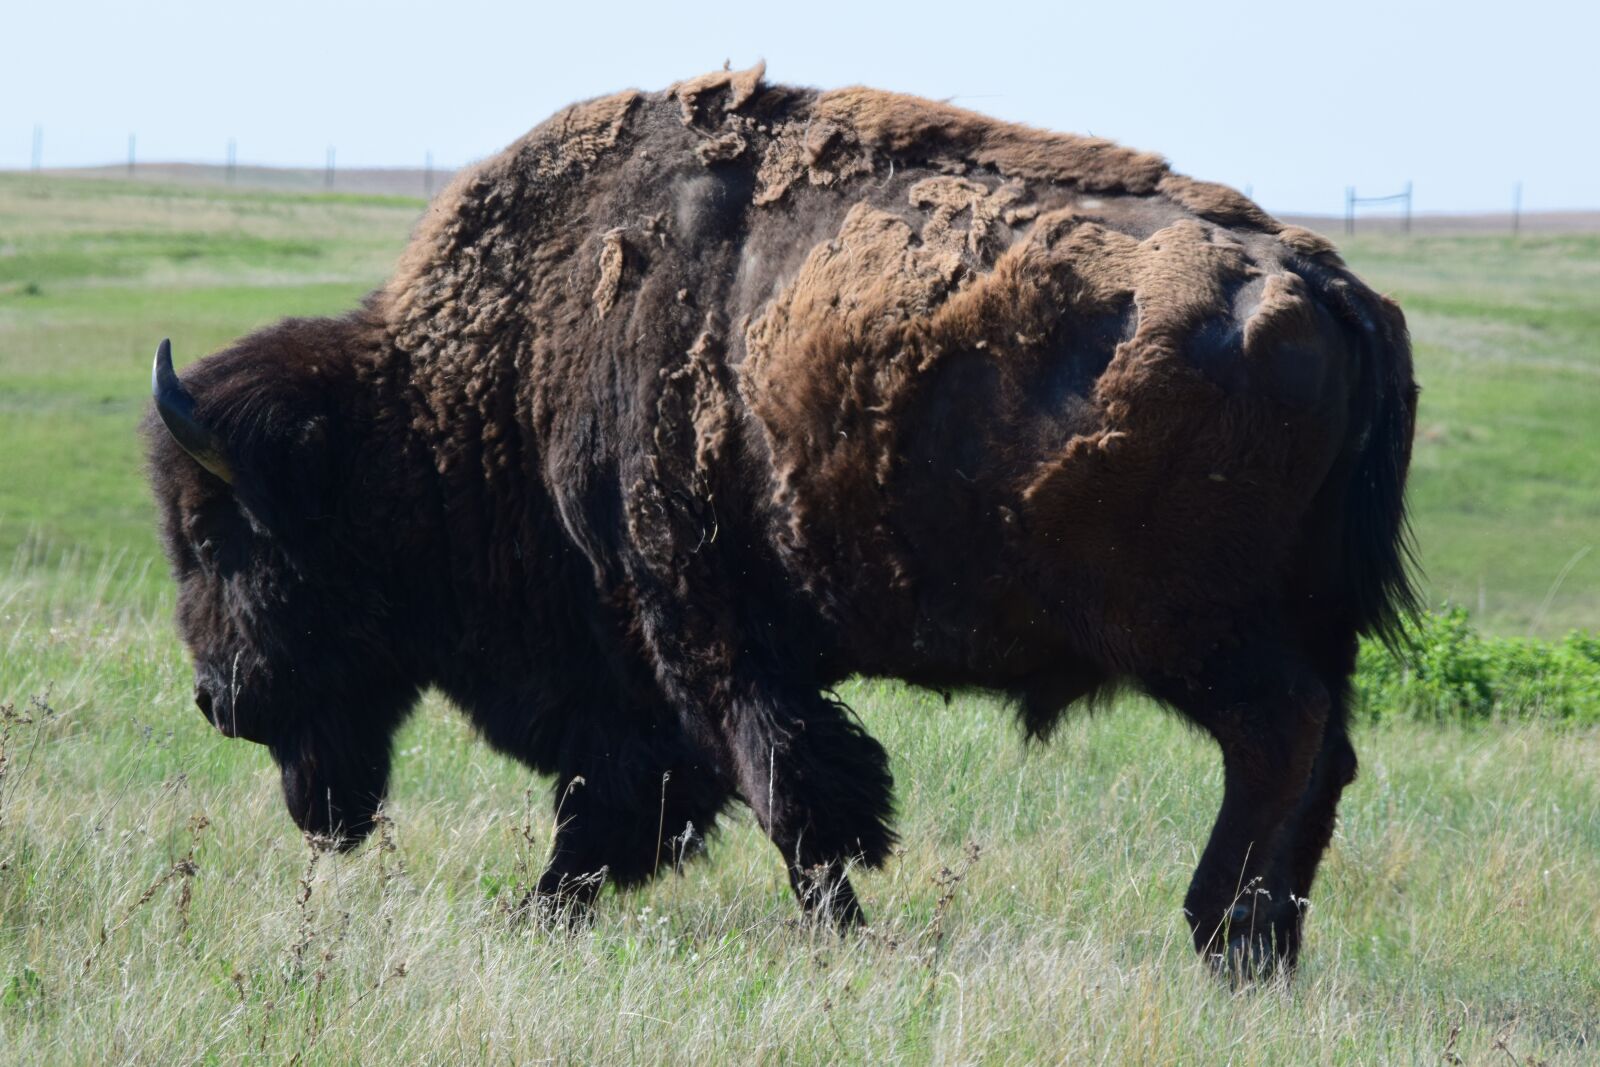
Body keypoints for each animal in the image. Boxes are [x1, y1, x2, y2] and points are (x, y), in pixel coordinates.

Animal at [146, 65, 1417, 974]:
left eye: (218, 533)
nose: (214, 697)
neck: (477, 392)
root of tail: (1330, 286)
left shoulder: (696, 628)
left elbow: (787, 791)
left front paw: (838, 938)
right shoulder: (654, 672)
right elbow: (651, 804)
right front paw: (538, 911)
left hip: (1190, 633)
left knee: (1278, 739)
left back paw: (1219, 936)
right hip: (1301, 625)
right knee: (1328, 754)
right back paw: (1268, 946)